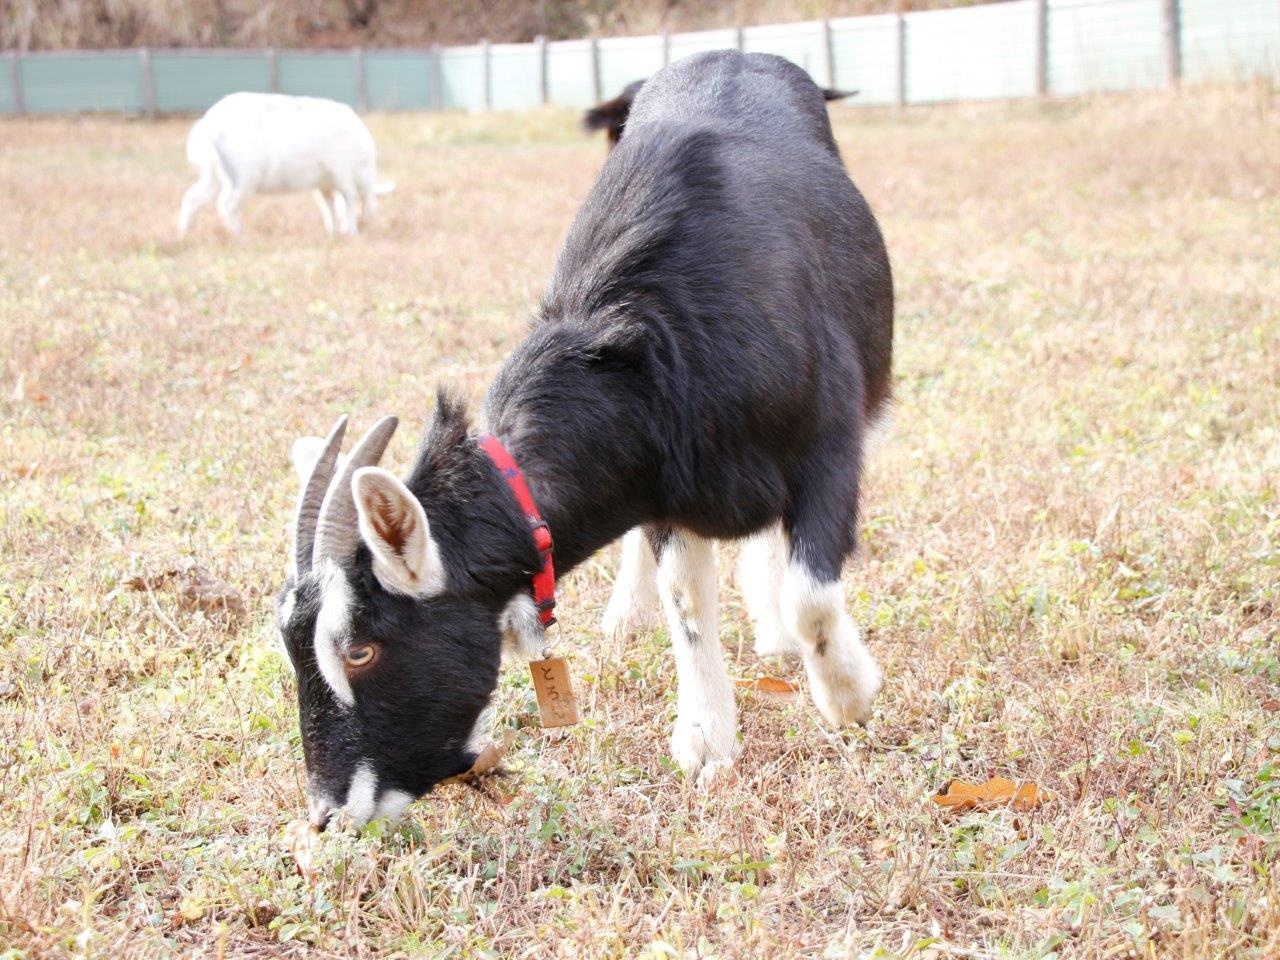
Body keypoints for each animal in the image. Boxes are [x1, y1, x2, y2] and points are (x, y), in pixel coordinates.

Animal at [177, 92, 391, 239]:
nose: (370, 222)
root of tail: (205, 125)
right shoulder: (341, 171)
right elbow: (349, 199)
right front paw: (352, 233)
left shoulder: (325, 184)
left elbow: (329, 206)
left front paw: (333, 232)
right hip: (242, 176)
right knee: (226, 204)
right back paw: (241, 237)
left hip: (213, 176)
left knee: (192, 197)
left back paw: (183, 234)